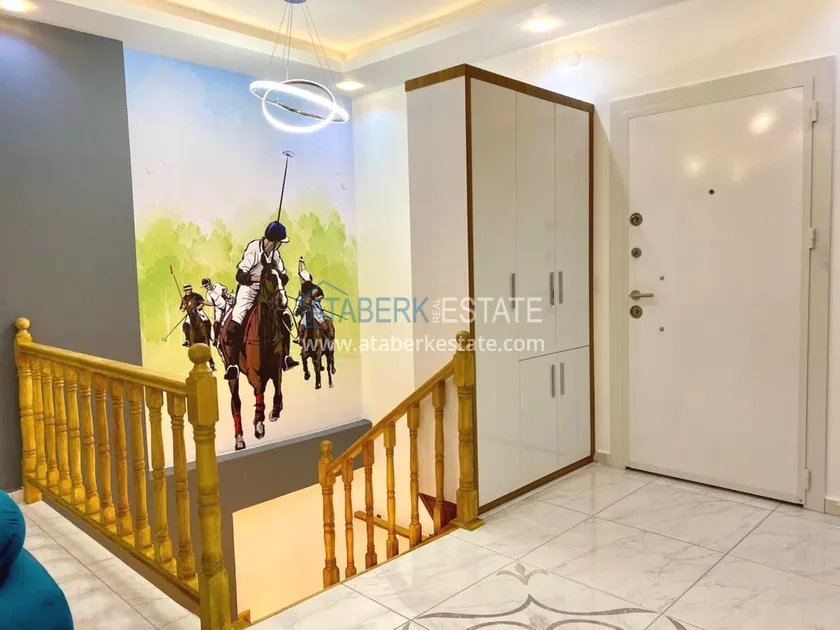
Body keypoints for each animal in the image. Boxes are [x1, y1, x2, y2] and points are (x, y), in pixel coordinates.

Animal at [219, 261, 286, 451]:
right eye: (268, 278)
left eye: (282, 278)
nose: (282, 302)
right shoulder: (254, 373)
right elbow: (259, 392)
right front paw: (259, 424)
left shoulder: (276, 367)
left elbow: (277, 387)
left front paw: (275, 410)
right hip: (232, 374)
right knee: (236, 403)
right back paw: (239, 439)